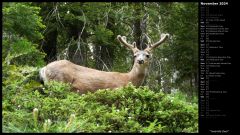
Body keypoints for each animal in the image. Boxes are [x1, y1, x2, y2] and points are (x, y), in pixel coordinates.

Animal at [39, 33, 170, 94]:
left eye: (147, 55)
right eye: (135, 55)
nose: (140, 60)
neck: (128, 79)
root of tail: (44, 68)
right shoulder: (115, 91)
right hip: (58, 82)